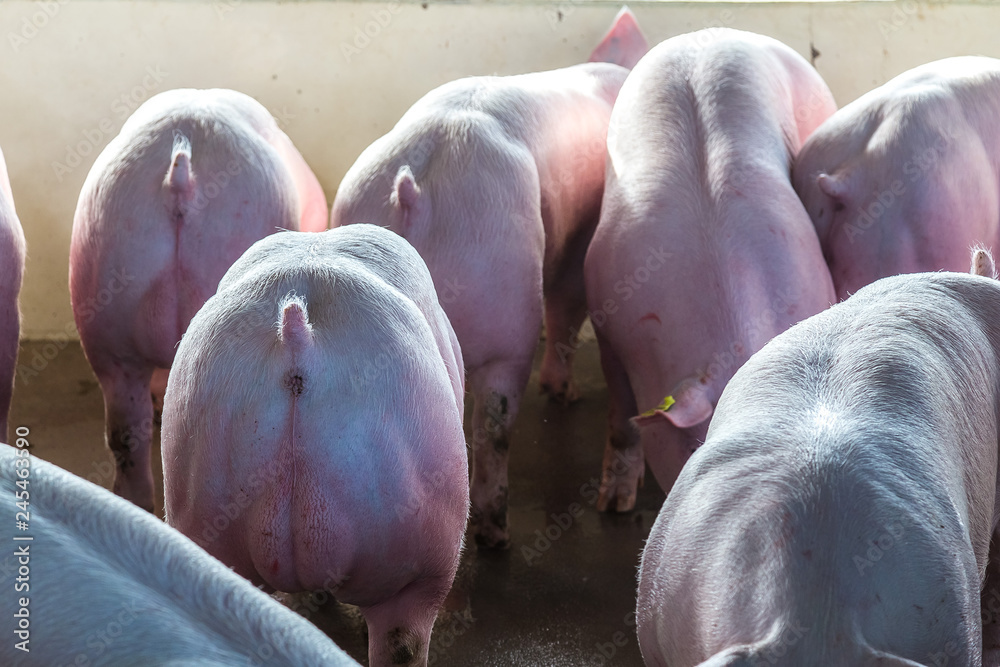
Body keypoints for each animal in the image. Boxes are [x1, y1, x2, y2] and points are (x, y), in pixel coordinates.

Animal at [331, 8, 649, 548]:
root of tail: (413, 189)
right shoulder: (579, 240)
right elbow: (567, 305)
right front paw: (565, 394)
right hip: (504, 305)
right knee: (494, 424)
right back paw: (495, 534)